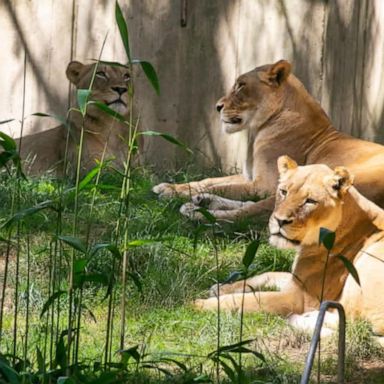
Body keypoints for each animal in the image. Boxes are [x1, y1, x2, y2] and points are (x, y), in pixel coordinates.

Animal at [153, 59, 384, 222]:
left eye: (241, 86)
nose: (217, 107)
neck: (258, 128)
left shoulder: (264, 185)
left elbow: (222, 187)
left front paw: (171, 193)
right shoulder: (250, 177)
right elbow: (208, 181)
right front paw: (168, 186)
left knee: (248, 215)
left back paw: (196, 212)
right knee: (250, 206)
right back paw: (203, 202)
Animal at [195, 156, 384, 336]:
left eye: (310, 201)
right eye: (283, 192)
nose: (280, 221)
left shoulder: (298, 297)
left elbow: (246, 300)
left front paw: (197, 304)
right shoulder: (296, 281)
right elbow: (267, 275)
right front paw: (220, 288)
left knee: (356, 324)